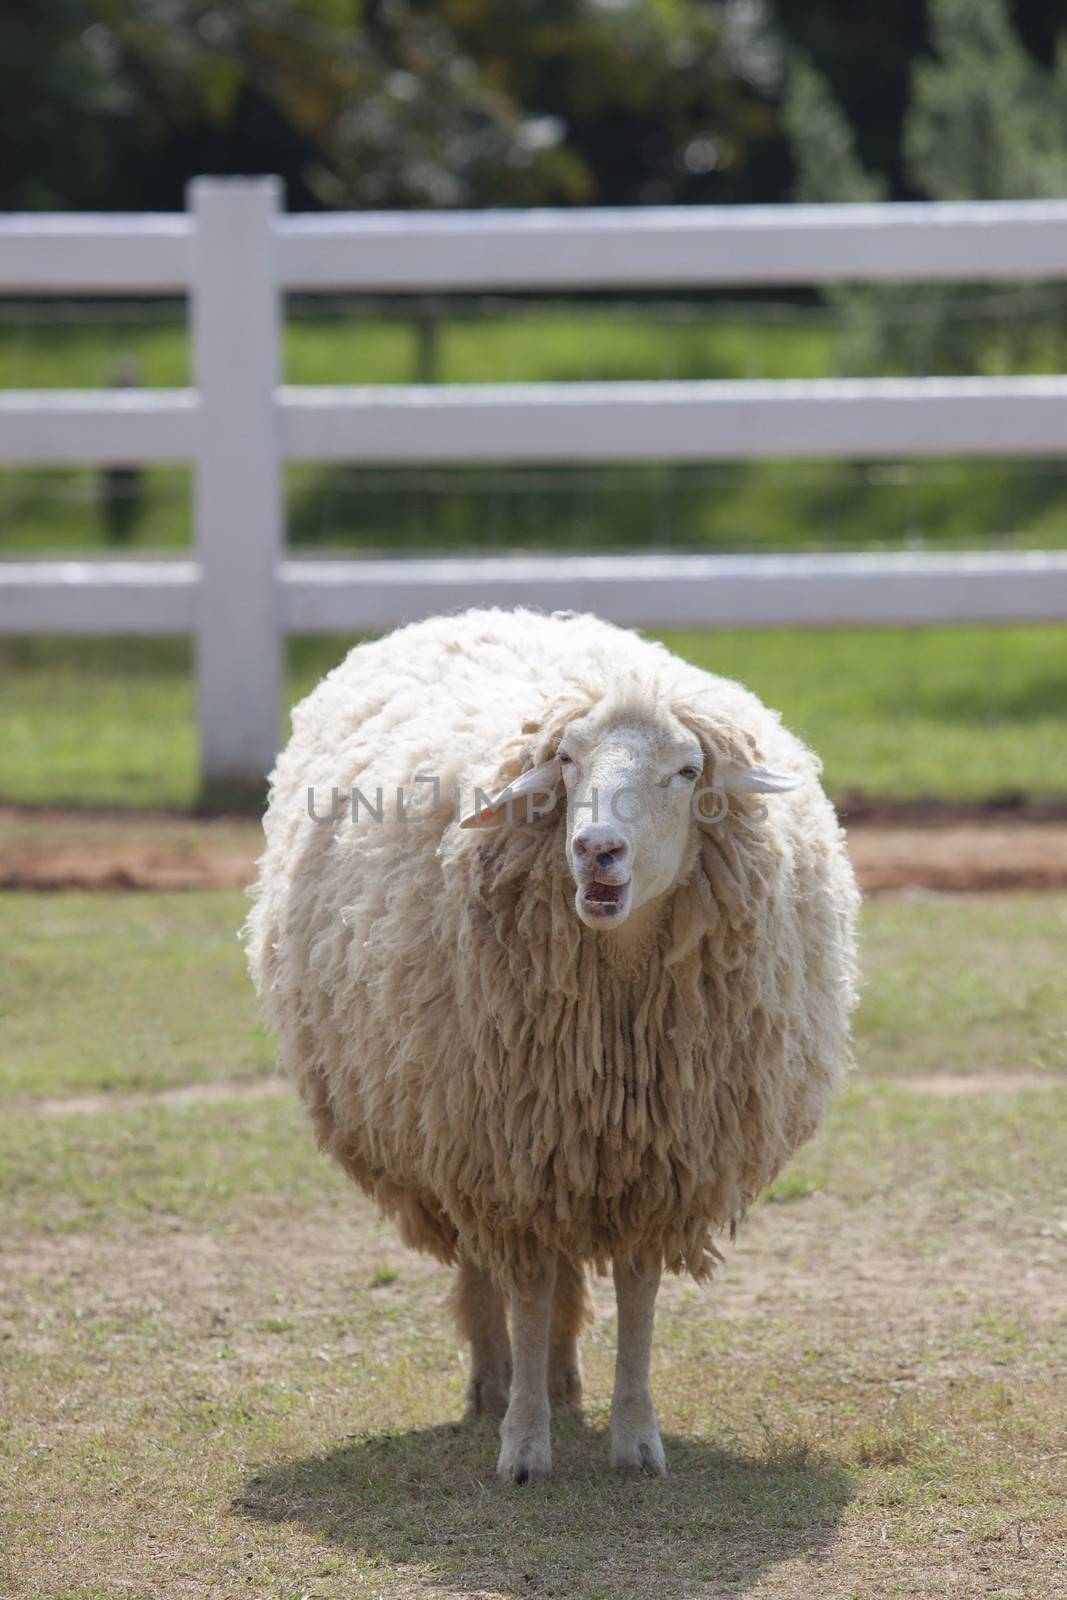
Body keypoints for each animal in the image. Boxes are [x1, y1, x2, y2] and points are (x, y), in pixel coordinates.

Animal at [244, 601, 857, 1484]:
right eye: (566, 760)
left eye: (685, 770)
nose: (595, 849)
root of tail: (486, 610)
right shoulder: (505, 1153)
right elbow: (526, 1290)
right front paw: (524, 1445)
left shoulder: (657, 1157)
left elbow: (637, 1292)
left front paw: (634, 1436)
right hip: (455, 1128)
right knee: (482, 1264)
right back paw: (494, 1383)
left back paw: (566, 1377)